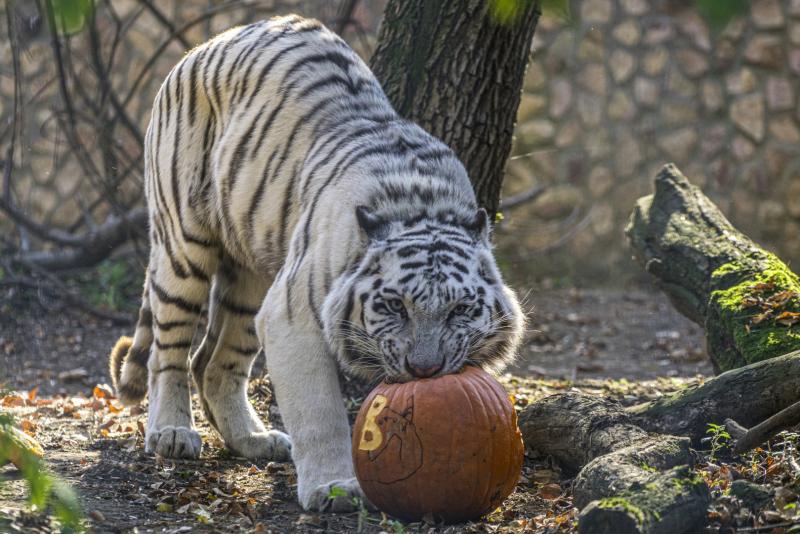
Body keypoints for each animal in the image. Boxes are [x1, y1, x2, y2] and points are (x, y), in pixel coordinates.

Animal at [112, 14, 524, 512]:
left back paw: (253, 440)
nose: (425, 370)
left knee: (214, 361)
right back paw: (172, 432)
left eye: (460, 310)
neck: (422, 205)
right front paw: (335, 488)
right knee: (168, 350)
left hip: (252, 279)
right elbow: (319, 410)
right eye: (395, 306)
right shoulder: (293, 315)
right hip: (184, 244)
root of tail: (206, 45)